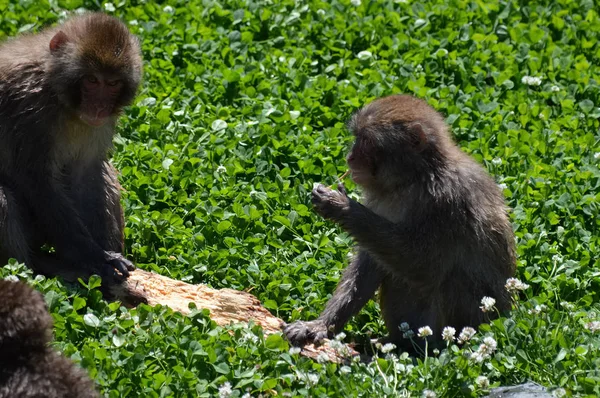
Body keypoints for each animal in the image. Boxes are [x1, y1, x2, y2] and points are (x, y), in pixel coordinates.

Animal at [0, 11, 142, 280]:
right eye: (92, 80)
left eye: (112, 84)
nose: (99, 107)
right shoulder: (29, 112)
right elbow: (38, 181)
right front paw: (96, 257)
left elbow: (87, 174)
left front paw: (104, 255)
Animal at [284, 95, 516, 350]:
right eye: (357, 137)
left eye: (367, 141)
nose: (350, 157)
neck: (415, 177)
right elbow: (371, 263)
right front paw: (320, 325)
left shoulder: (448, 200)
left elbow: (424, 265)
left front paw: (341, 207)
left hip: (472, 320)